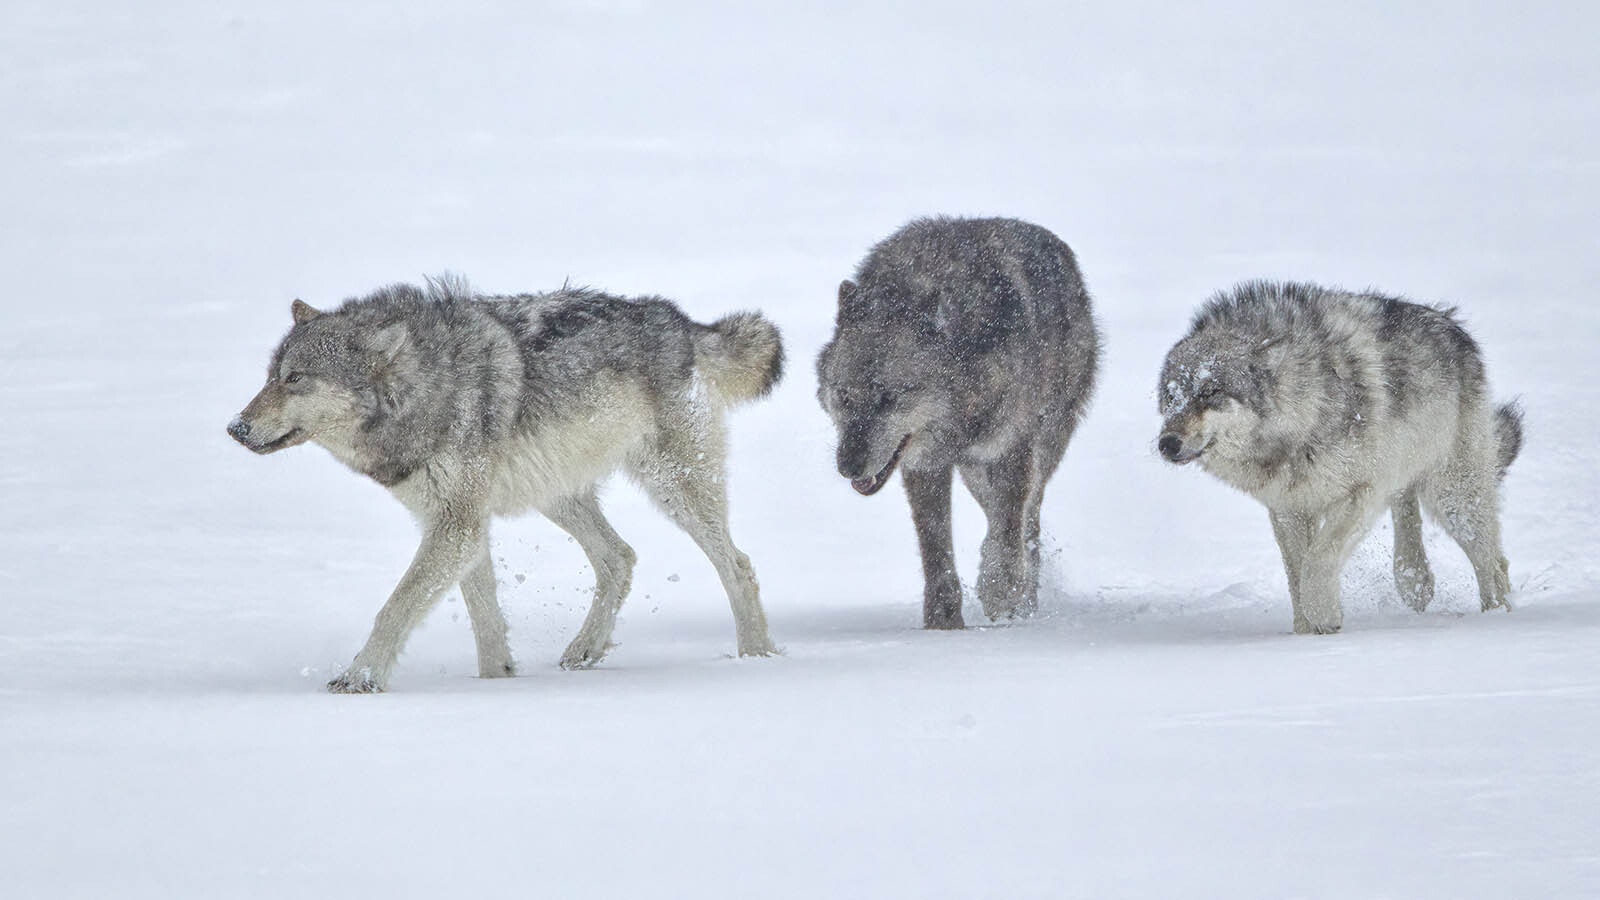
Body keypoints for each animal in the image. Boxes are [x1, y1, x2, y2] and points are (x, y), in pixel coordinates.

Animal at [227, 276, 783, 692]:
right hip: (556, 493)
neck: (421, 392)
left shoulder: (456, 526)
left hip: (672, 485)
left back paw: (755, 659)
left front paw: (359, 678)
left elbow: (396, 607)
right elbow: (486, 619)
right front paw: (498, 685)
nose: (235, 428)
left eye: (296, 378)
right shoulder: (459, 523)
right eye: (271, 376)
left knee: (738, 564)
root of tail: (683, 322)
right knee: (620, 557)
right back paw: (585, 649)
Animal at [816, 217, 1101, 629]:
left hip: (1040, 447)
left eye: (889, 398)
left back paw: (1025, 596)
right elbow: (936, 549)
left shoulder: (1010, 448)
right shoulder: (925, 465)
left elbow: (1007, 528)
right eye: (844, 396)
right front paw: (944, 624)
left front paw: (1002, 593)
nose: (848, 466)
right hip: (974, 473)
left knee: (1026, 519)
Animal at [1157, 280, 1523, 634]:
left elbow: (1316, 563)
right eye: (1171, 397)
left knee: (1493, 563)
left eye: (1209, 393)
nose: (1167, 443)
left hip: (1453, 497)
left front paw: (1324, 616)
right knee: (1407, 508)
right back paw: (1415, 581)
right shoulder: (1288, 508)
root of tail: (1455, 326)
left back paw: (1494, 616)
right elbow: (1296, 576)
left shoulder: (1360, 493)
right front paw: (1304, 633)